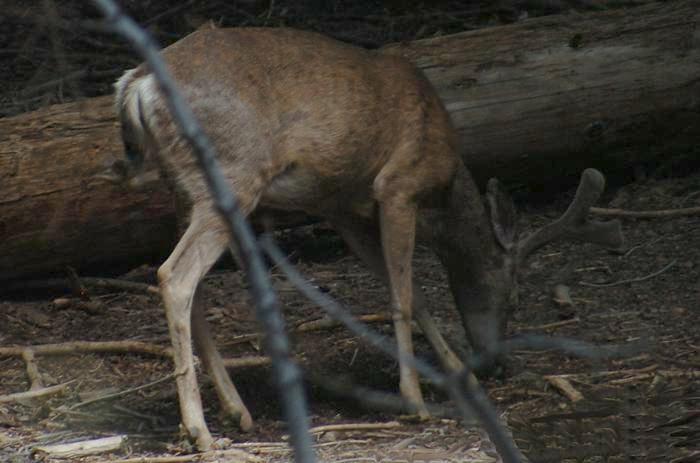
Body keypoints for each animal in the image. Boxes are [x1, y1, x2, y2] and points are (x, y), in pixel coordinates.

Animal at [110, 25, 624, 450]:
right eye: (515, 297)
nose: (495, 362)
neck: (443, 187)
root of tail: (137, 84)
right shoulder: (398, 185)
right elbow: (402, 294)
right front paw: (415, 397)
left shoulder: (343, 209)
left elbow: (415, 295)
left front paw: (457, 376)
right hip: (233, 176)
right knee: (174, 275)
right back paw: (199, 429)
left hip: (183, 190)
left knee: (190, 284)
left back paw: (237, 412)